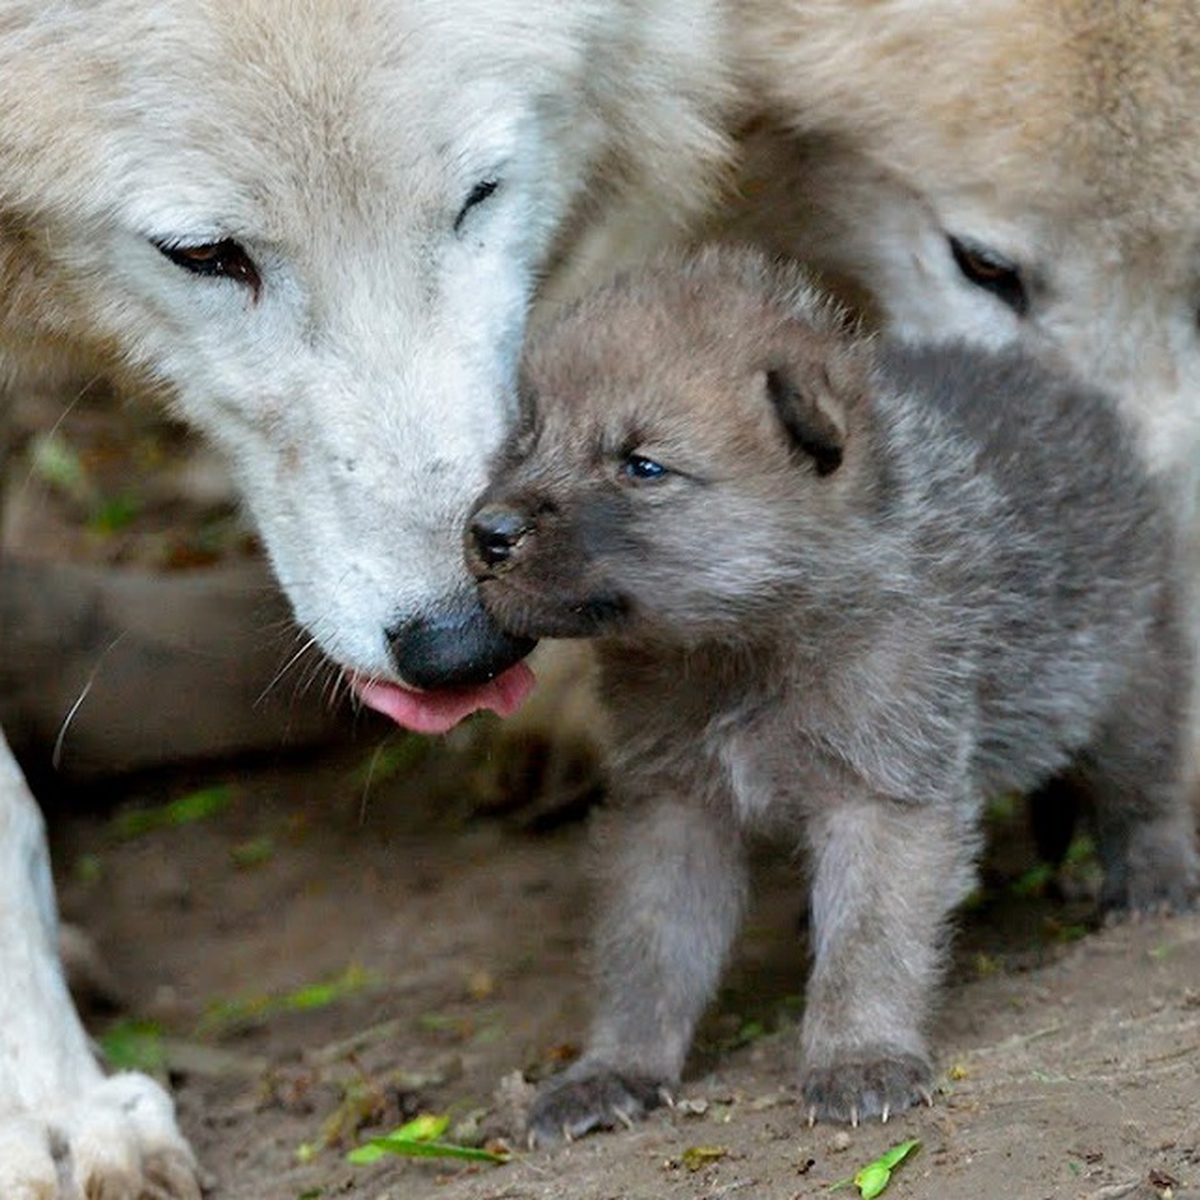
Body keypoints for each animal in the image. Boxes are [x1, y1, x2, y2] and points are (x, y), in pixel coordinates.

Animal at [465, 249, 1199, 1140]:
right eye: (526, 440)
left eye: (642, 466)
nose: (487, 534)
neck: (745, 648)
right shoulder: (673, 810)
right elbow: (648, 950)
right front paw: (614, 1067)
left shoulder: (883, 798)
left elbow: (870, 941)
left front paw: (858, 1055)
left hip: (1128, 677)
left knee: (1143, 785)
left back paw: (1154, 876)